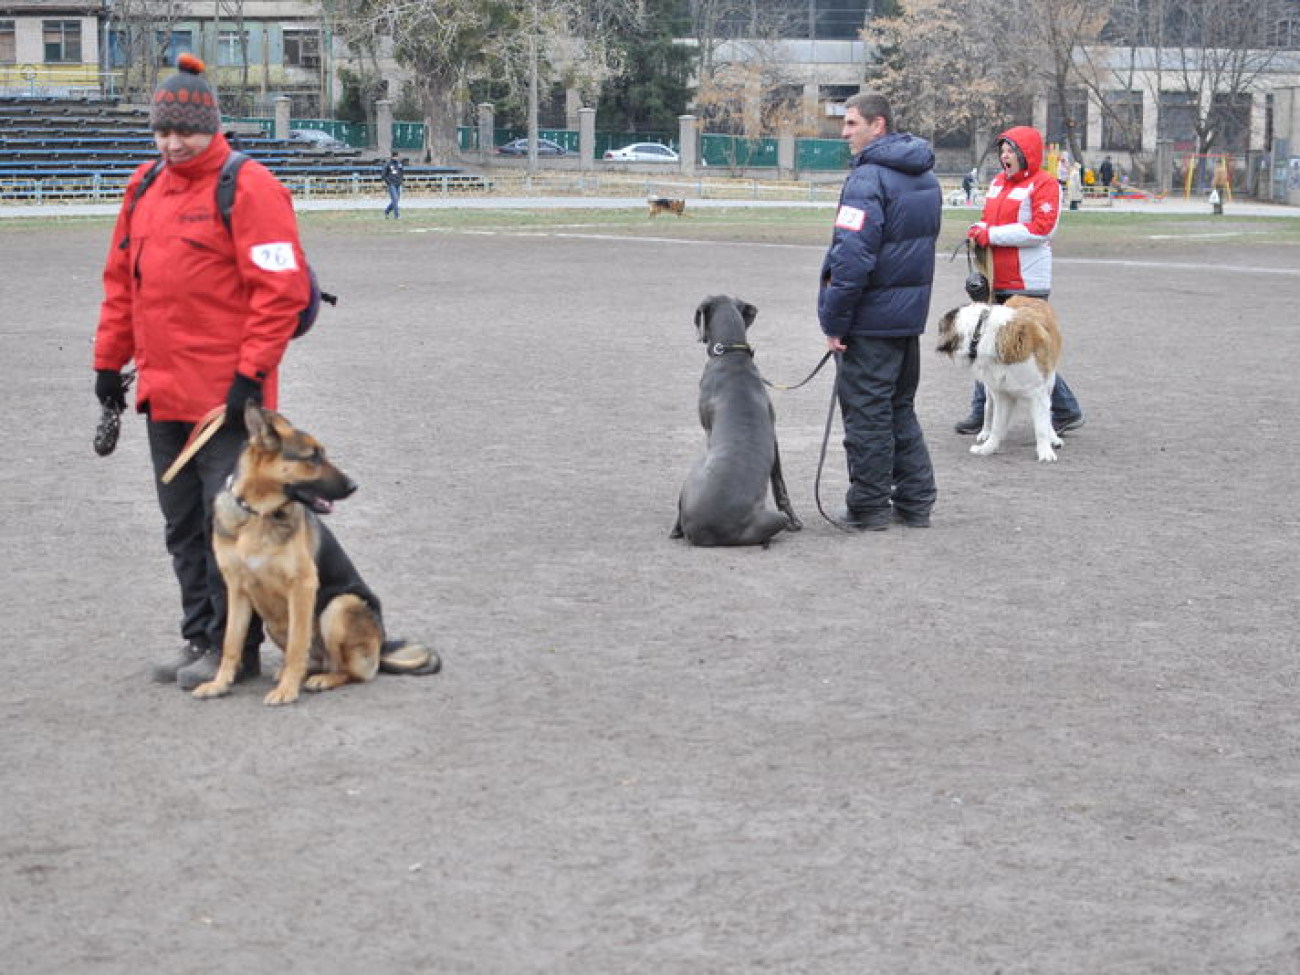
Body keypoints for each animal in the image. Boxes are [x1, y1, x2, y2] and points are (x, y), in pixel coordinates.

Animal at [189, 405, 439, 712]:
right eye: (313, 457)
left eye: (322, 454)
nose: (355, 486)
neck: (259, 514)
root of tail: (380, 647)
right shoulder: (236, 591)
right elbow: (231, 644)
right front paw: (219, 684)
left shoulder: (303, 587)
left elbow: (298, 645)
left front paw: (287, 691)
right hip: (275, 622)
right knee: (316, 660)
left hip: (339, 607)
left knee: (350, 672)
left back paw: (321, 679)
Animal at [670, 293, 800, 546]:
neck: (731, 353)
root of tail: (705, 531)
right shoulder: (774, 437)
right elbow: (779, 481)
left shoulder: (708, 428)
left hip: (694, 472)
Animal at [941, 296, 1060, 462]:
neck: (982, 333)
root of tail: (1027, 297)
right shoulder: (1001, 393)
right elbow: (996, 424)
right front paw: (987, 448)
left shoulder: (1038, 392)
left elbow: (1042, 425)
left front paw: (1045, 452)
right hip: (990, 389)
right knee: (988, 408)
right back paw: (985, 432)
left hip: (1050, 382)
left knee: (1048, 413)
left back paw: (1053, 438)